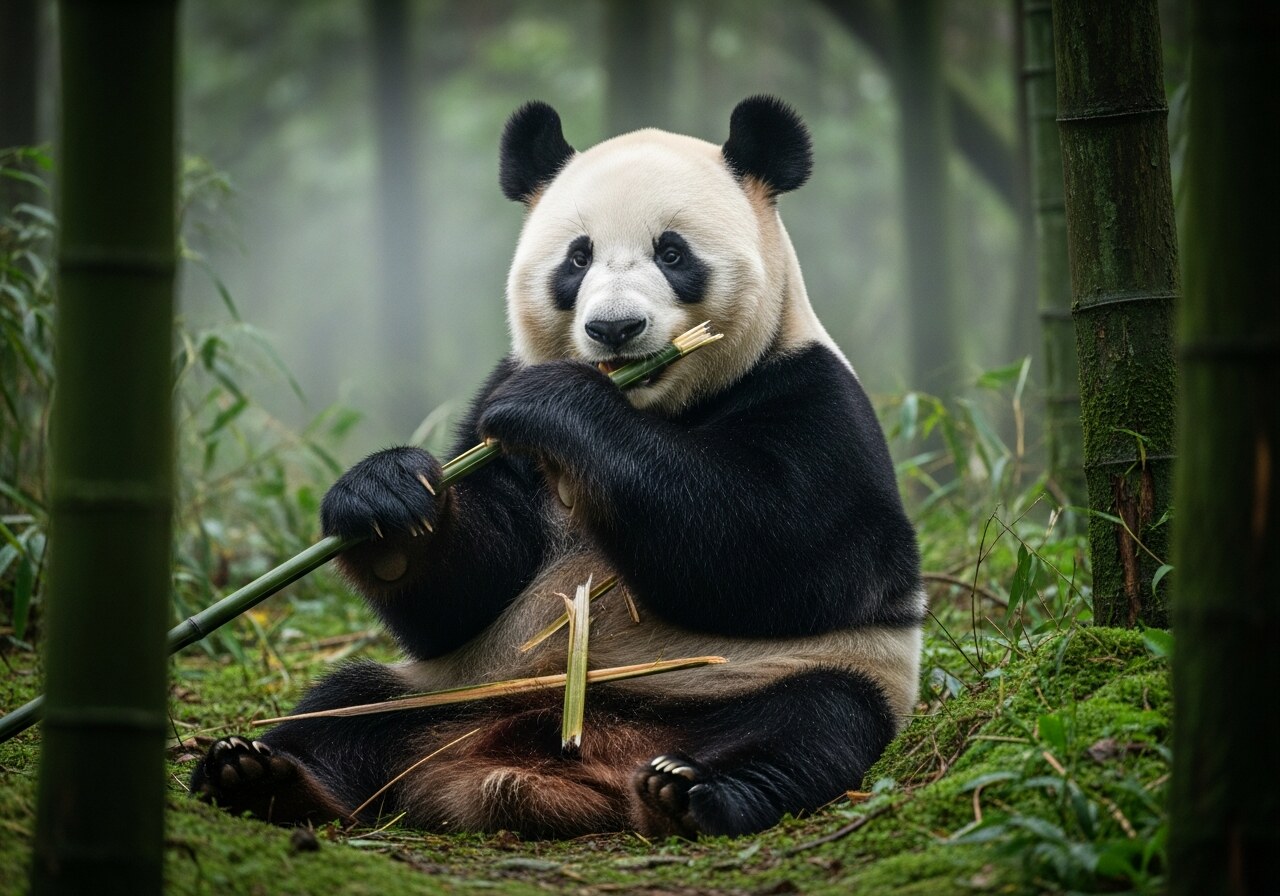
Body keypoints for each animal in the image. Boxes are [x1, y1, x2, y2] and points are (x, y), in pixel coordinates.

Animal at [190, 96, 924, 839]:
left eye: (672, 252)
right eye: (578, 258)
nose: (615, 329)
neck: (652, 403)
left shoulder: (815, 399)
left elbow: (787, 554)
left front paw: (560, 403)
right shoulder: (492, 412)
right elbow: (462, 595)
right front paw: (385, 496)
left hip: (778, 676)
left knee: (811, 722)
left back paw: (693, 790)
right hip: (450, 687)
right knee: (345, 706)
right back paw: (259, 775)